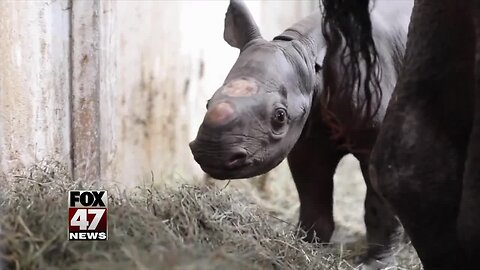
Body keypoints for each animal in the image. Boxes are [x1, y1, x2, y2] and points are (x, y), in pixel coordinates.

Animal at [189, 1, 406, 268]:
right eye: (208, 102)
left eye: (280, 117)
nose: (211, 154)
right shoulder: (307, 140)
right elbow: (313, 193)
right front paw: (309, 245)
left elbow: (378, 203)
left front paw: (375, 263)